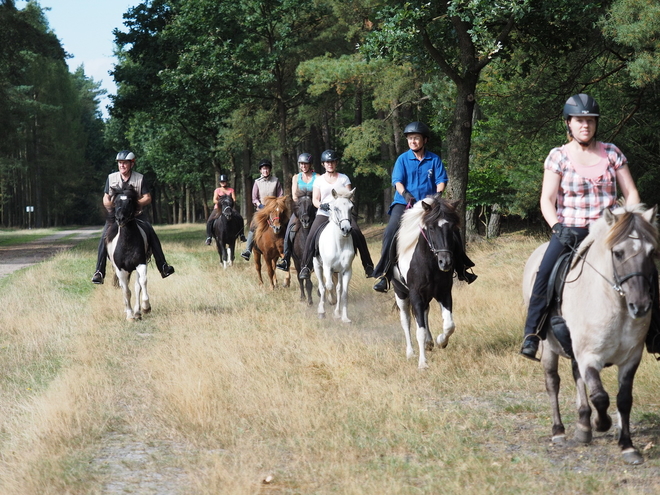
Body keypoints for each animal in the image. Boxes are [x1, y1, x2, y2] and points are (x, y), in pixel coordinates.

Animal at [105, 185, 151, 322]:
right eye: (115, 202)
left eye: (130, 201)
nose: (120, 219)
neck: (127, 242)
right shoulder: (120, 269)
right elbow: (126, 291)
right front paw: (129, 315)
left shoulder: (141, 264)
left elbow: (142, 282)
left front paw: (145, 307)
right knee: (124, 288)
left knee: (137, 286)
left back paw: (138, 312)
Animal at [314, 188, 356, 324]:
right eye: (336, 208)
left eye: (351, 208)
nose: (346, 229)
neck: (339, 243)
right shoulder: (328, 267)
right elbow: (328, 286)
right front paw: (330, 302)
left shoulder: (347, 270)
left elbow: (343, 293)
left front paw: (344, 317)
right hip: (317, 266)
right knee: (322, 286)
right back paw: (321, 311)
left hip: (338, 272)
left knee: (338, 288)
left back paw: (337, 312)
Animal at [392, 196, 458, 370]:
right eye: (431, 228)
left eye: (452, 227)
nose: (445, 262)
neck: (428, 262)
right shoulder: (415, 294)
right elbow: (418, 330)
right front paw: (422, 363)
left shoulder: (444, 292)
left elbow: (449, 325)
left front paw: (441, 341)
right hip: (400, 293)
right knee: (406, 320)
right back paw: (410, 353)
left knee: (425, 313)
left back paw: (429, 342)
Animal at [524, 203, 656, 466]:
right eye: (618, 253)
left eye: (652, 252)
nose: (640, 306)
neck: (613, 302)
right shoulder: (589, 356)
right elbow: (601, 397)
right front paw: (601, 423)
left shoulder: (631, 358)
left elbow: (623, 399)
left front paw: (627, 445)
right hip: (548, 349)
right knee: (553, 383)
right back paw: (559, 431)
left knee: (577, 378)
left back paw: (583, 425)